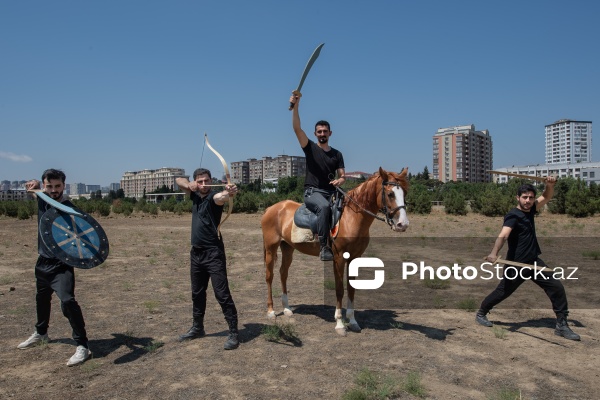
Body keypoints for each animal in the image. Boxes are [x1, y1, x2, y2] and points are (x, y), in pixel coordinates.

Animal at [260, 166, 410, 334]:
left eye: (405, 193)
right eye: (390, 194)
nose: (402, 224)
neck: (351, 218)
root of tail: (271, 208)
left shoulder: (354, 258)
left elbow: (351, 289)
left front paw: (352, 321)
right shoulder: (338, 258)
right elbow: (339, 289)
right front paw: (339, 324)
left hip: (288, 248)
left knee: (283, 273)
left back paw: (287, 309)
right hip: (271, 248)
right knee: (269, 276)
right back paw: (271, 311)